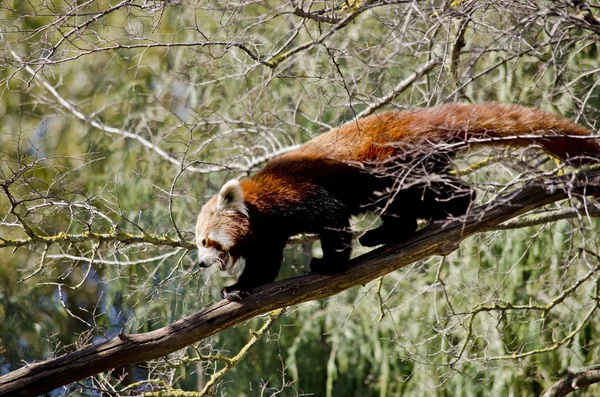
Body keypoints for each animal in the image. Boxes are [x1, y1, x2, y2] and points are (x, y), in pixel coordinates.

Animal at [197, 102, 600, 300]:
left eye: (206, 241)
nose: (200, 263)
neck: (260, 206)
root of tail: (419, 119)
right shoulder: (268, 233)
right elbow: (264, 264)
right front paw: (238, 288)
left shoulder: (296, 195)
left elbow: (332, 218)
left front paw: (329, 264)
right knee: (404, 209)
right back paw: (385, 234)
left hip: (397, 166)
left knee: (423, 196)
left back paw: (457, 207)